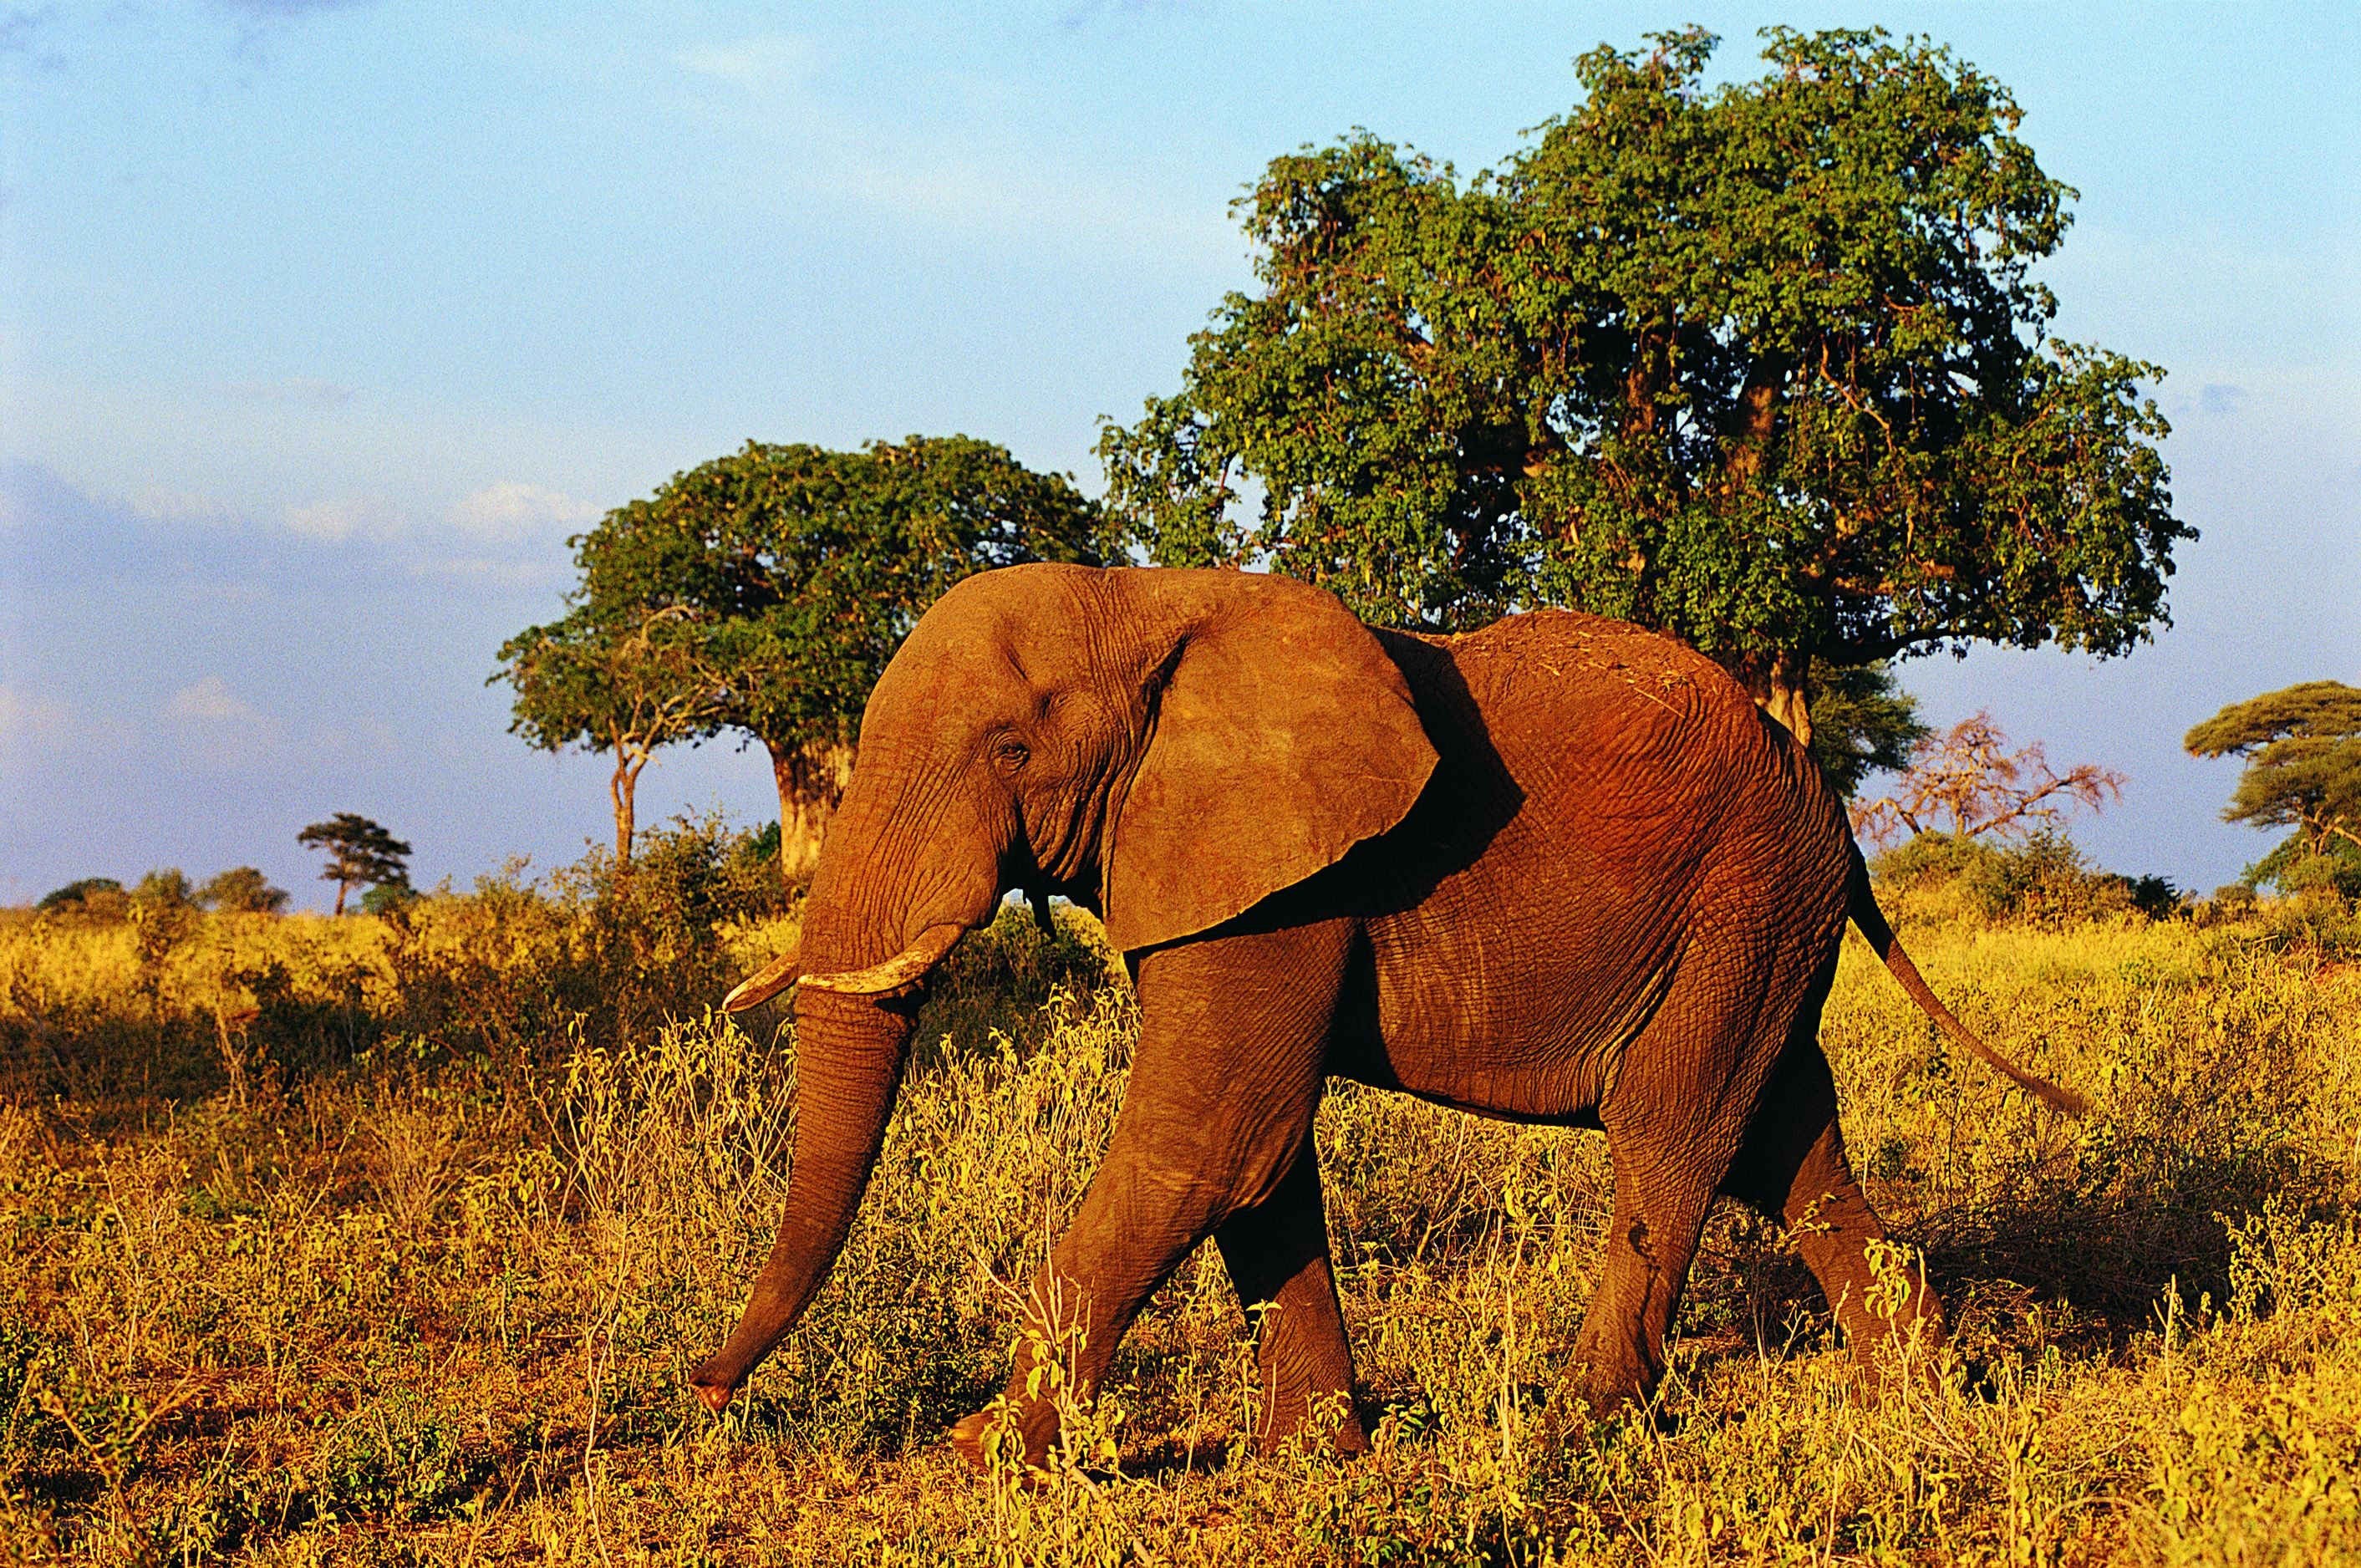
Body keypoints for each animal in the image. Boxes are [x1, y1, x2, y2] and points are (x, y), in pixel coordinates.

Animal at [686, 563, 2082, 1464]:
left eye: (1011, 752)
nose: (700, 1391)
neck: (1148, 598)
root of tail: (1833, 810)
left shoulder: (1293, 869)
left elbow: (1210, 1136)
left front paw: (978, 1453)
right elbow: (1258, 1158)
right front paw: (1314, 1456)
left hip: (1743, 904)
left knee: (1672, 1137)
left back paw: (1581, 1430)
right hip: (1763, 927)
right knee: (1787, 1145)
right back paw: (1922, 1400)